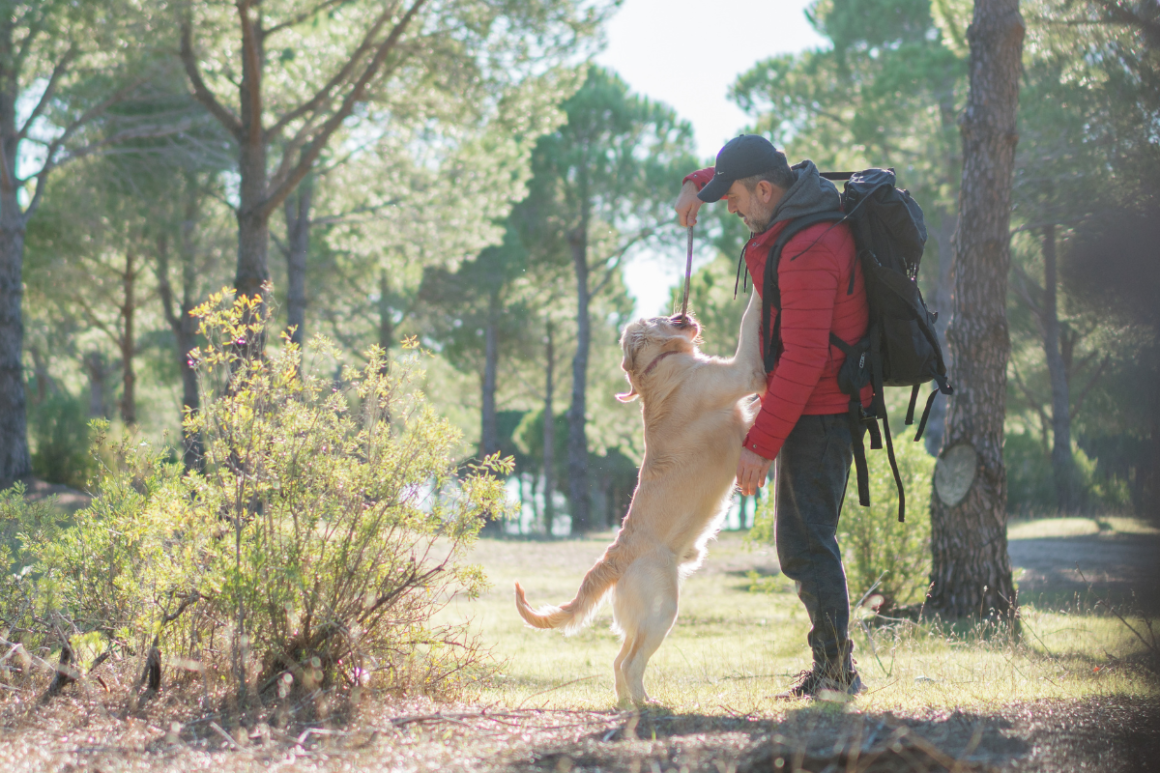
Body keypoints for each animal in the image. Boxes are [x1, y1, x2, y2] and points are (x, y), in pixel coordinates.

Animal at [517, 289, 770, 705]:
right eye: (658, 316)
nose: (679, 308)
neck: (658, 367)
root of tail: (616, 556)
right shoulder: (742, 371)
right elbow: (750, 322)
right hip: (663, 610)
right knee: (631, 663)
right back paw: (645, 703)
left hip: (641, 618)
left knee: (619, 661)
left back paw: (628, 702)